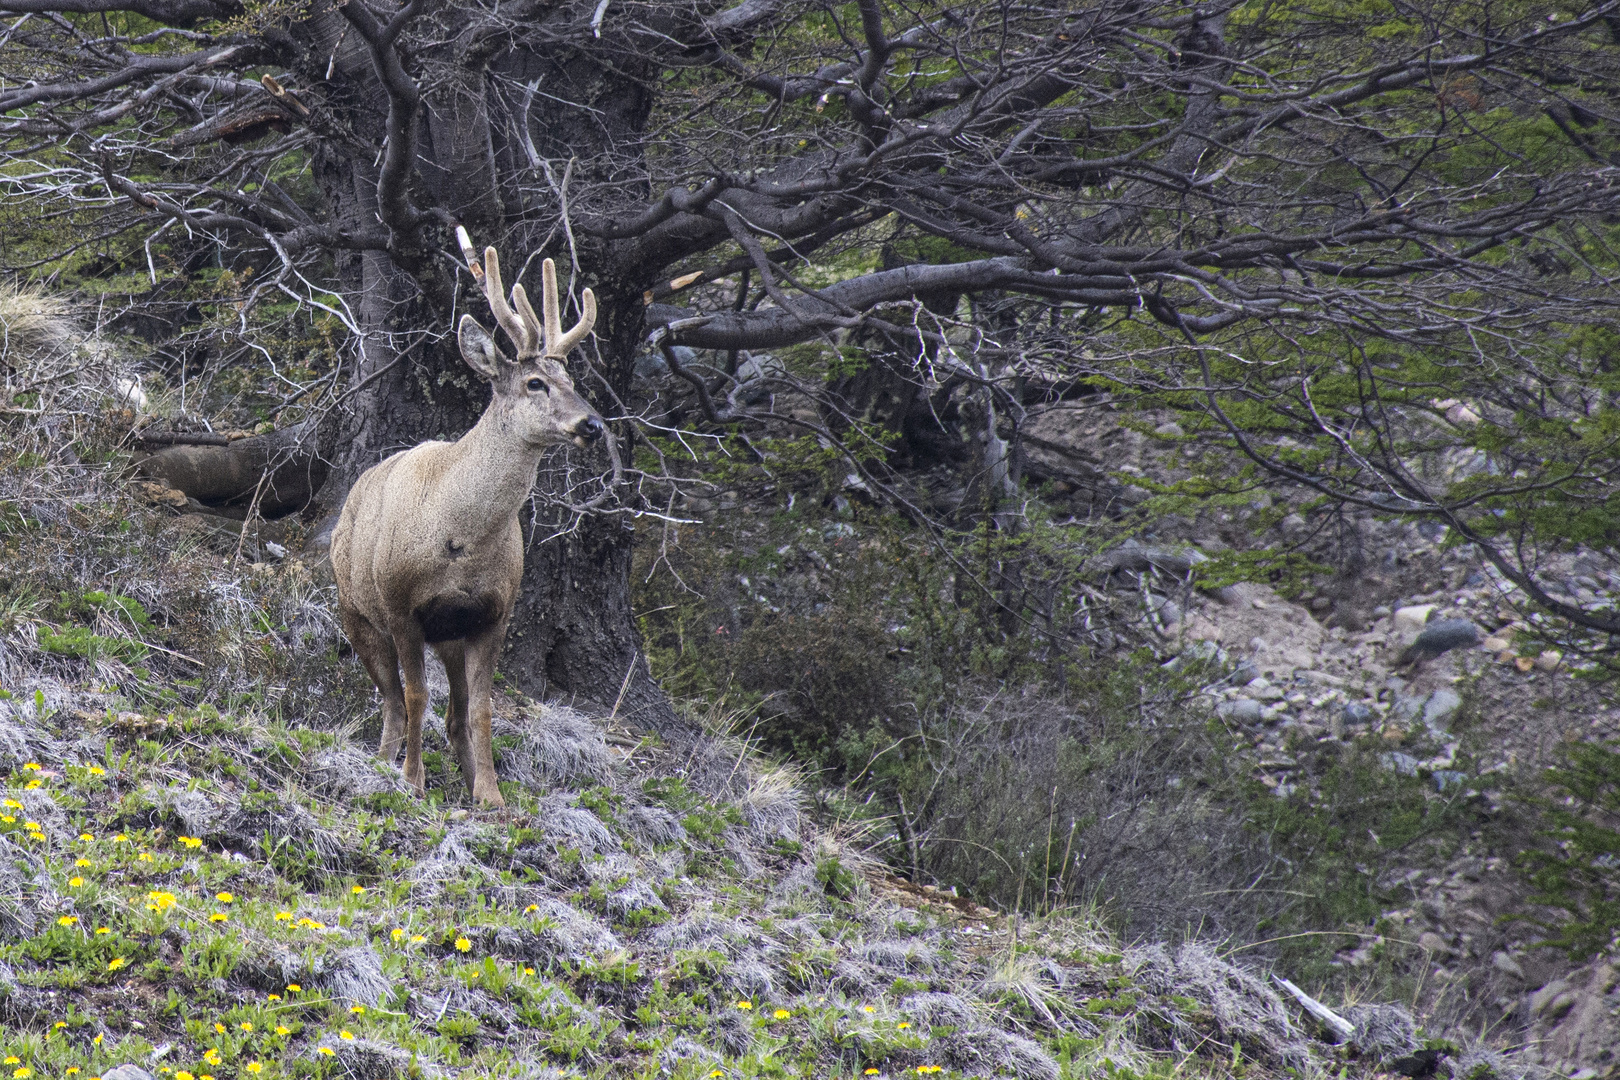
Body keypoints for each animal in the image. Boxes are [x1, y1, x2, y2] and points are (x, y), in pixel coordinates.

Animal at [332, 229, 605, 803]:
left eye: (570, 377)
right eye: (535, 383)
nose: (592, 425)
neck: (458, 537)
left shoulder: (492, 614)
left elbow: (481, 710)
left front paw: (491, 795)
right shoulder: (400, 605)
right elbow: (416, 697)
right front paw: (412, 780)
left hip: (449, 634)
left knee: (454, 712)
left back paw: (463, 773)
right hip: (354, 609)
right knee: (391, 700)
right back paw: (385, 763)